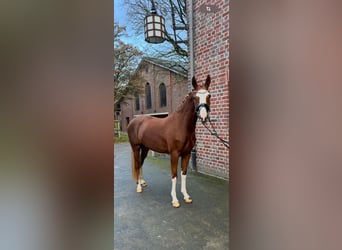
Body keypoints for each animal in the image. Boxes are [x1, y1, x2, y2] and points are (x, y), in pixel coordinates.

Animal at [126, 75, 211, 208]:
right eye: (194, 97)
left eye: (209, 95)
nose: (203, 116)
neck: (181, 125)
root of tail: (133, 121)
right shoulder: (174, 154)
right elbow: (174, 175)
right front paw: (175, 200)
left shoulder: (186, 154)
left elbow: (184, 174)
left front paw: (186, 196)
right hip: (136, 147)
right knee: (137, 164)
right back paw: (139, 187)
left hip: (145, 148)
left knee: (141, 163)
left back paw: (142, 182)